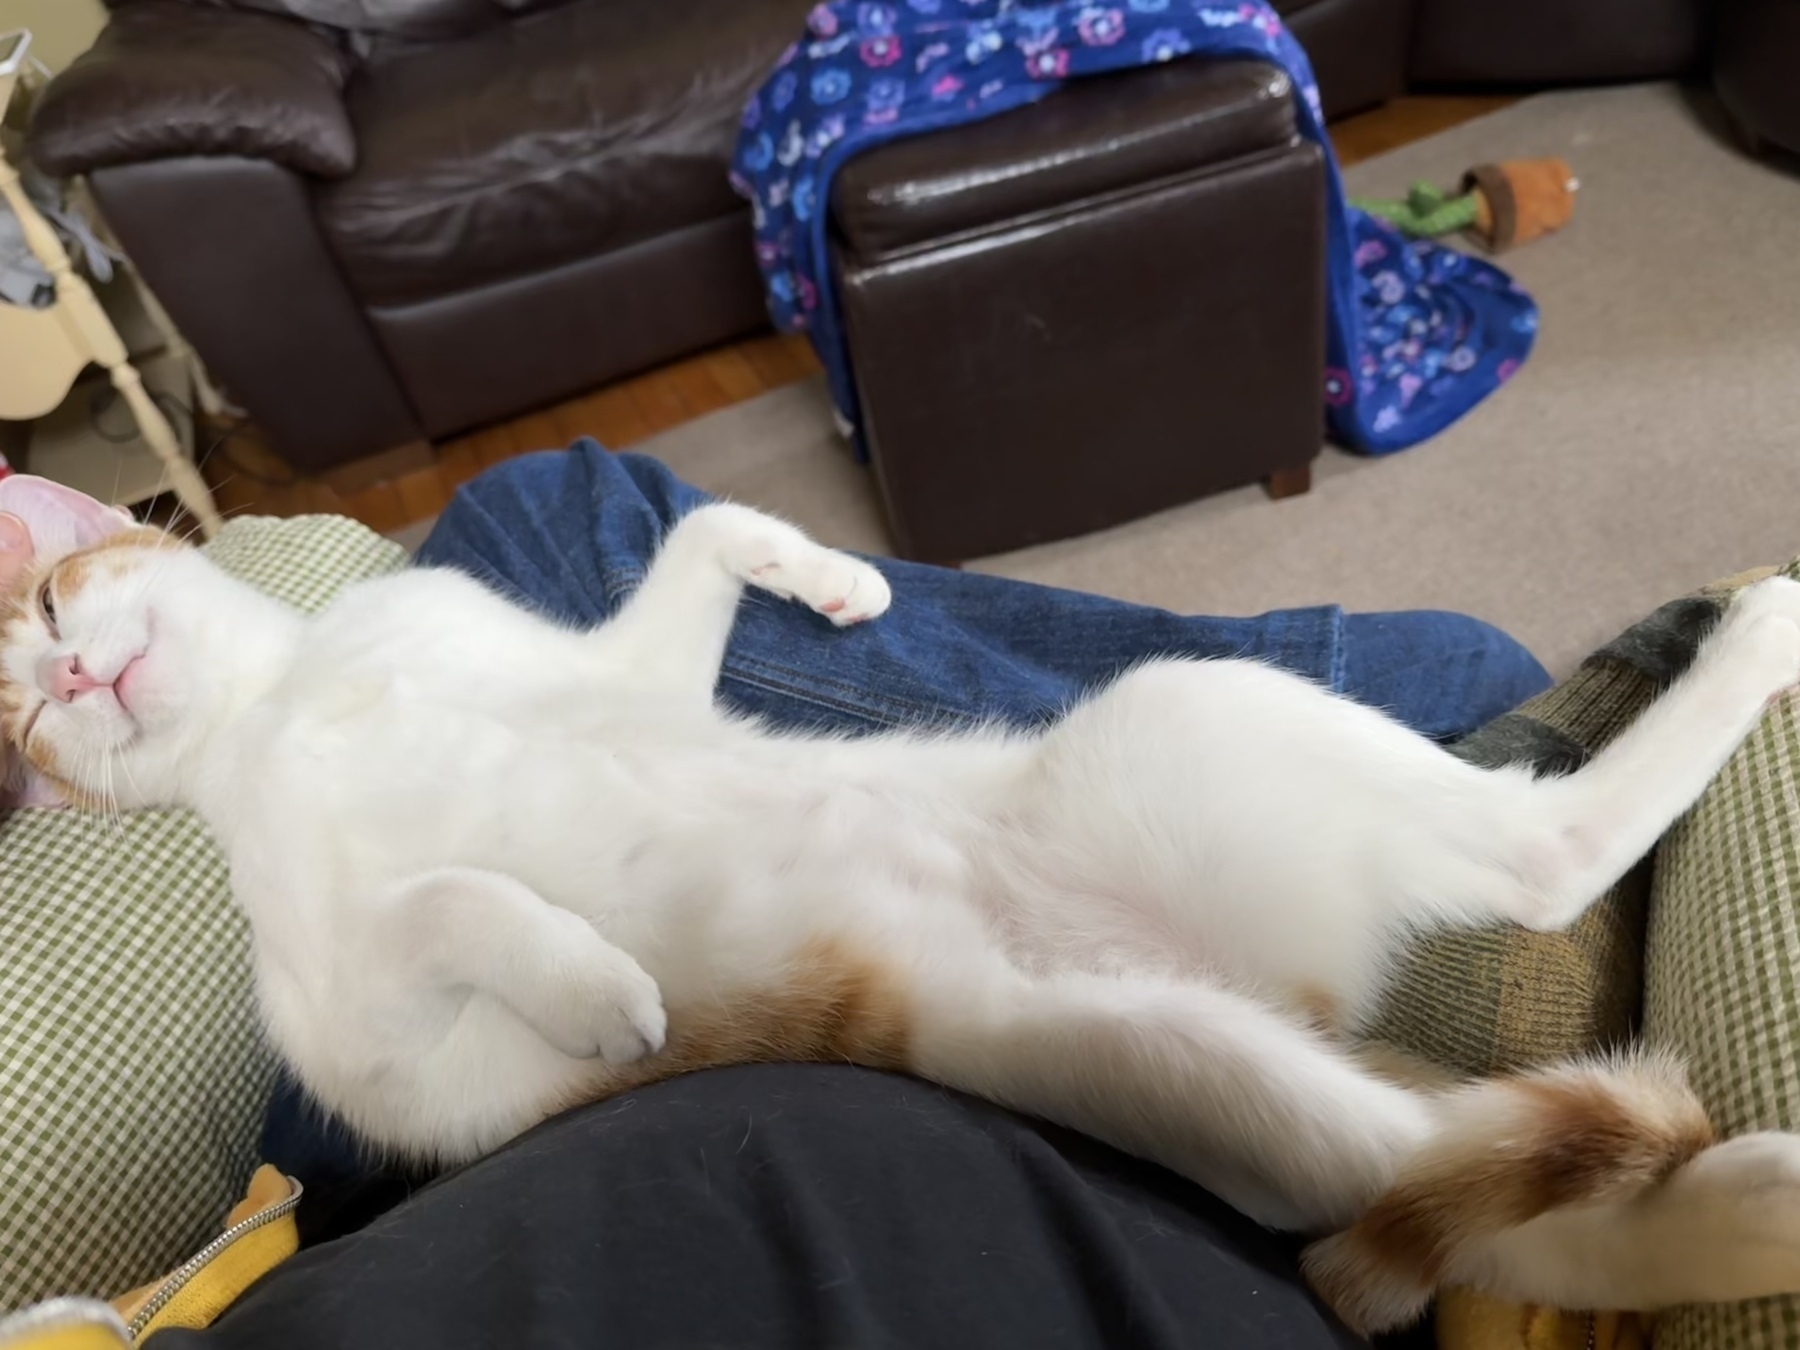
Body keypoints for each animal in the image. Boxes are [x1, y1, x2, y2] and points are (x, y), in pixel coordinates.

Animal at [3, 493, 1800, 1332]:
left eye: (44, 598)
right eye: (20, 727)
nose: (69, 682)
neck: (291, 699)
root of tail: (1263, 992)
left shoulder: (601, 673)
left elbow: (701, 538)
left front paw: (826, 576)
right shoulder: (377, 1036)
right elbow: (457, 896)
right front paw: (595, 985)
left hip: (1198, 867)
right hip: (1190, 1034)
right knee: (1507, 986)